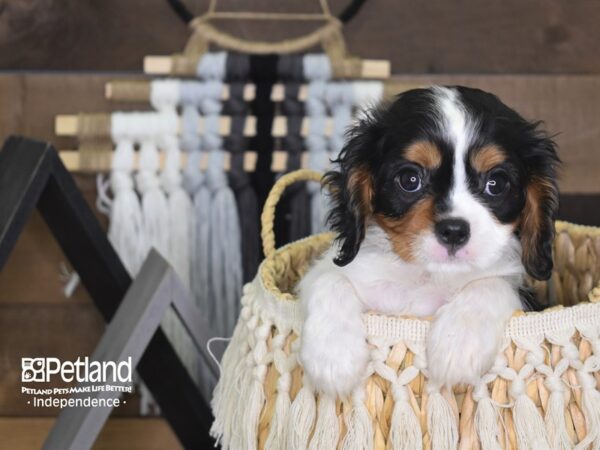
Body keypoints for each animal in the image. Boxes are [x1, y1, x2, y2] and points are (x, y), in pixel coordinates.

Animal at [298, 86, 560, 396]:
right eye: (410, 179)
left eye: (495, 184)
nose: (454, 231)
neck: (426, 277)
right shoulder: (331, 272)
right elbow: (329, 279)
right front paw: (333, 355)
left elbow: (490, 284)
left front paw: (459, 343)